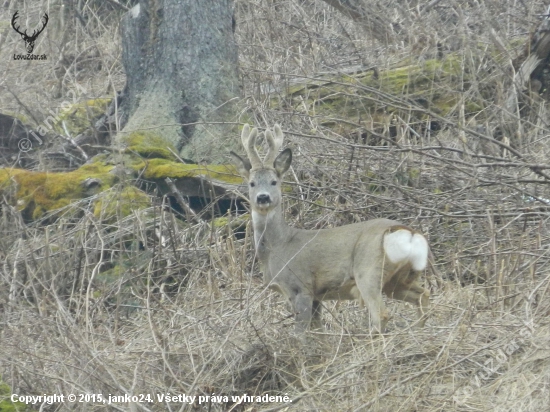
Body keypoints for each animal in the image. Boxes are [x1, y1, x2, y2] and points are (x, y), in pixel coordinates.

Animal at [231, 124, 434, 334]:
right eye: (251, 183)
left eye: (274, 181)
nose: (263, 197)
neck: (277, 246)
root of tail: (409, 233)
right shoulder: (317, 295)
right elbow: (317, 331)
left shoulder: (300, 286)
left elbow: (300, 333)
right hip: (400, 279)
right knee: (423, 295)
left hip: (368, 270)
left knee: (382, 313)